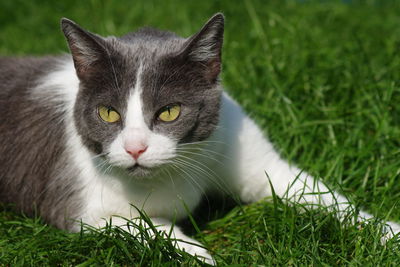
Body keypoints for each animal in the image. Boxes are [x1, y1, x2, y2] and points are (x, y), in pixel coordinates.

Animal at [0, 13, 398, 264]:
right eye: (108, 113)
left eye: (170, 112)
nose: (135, 148)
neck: (176, 172)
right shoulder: (77, 206)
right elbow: (142, 224)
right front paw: (198, 254)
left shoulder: (239, 143)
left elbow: (318, 194)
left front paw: (388, 233)